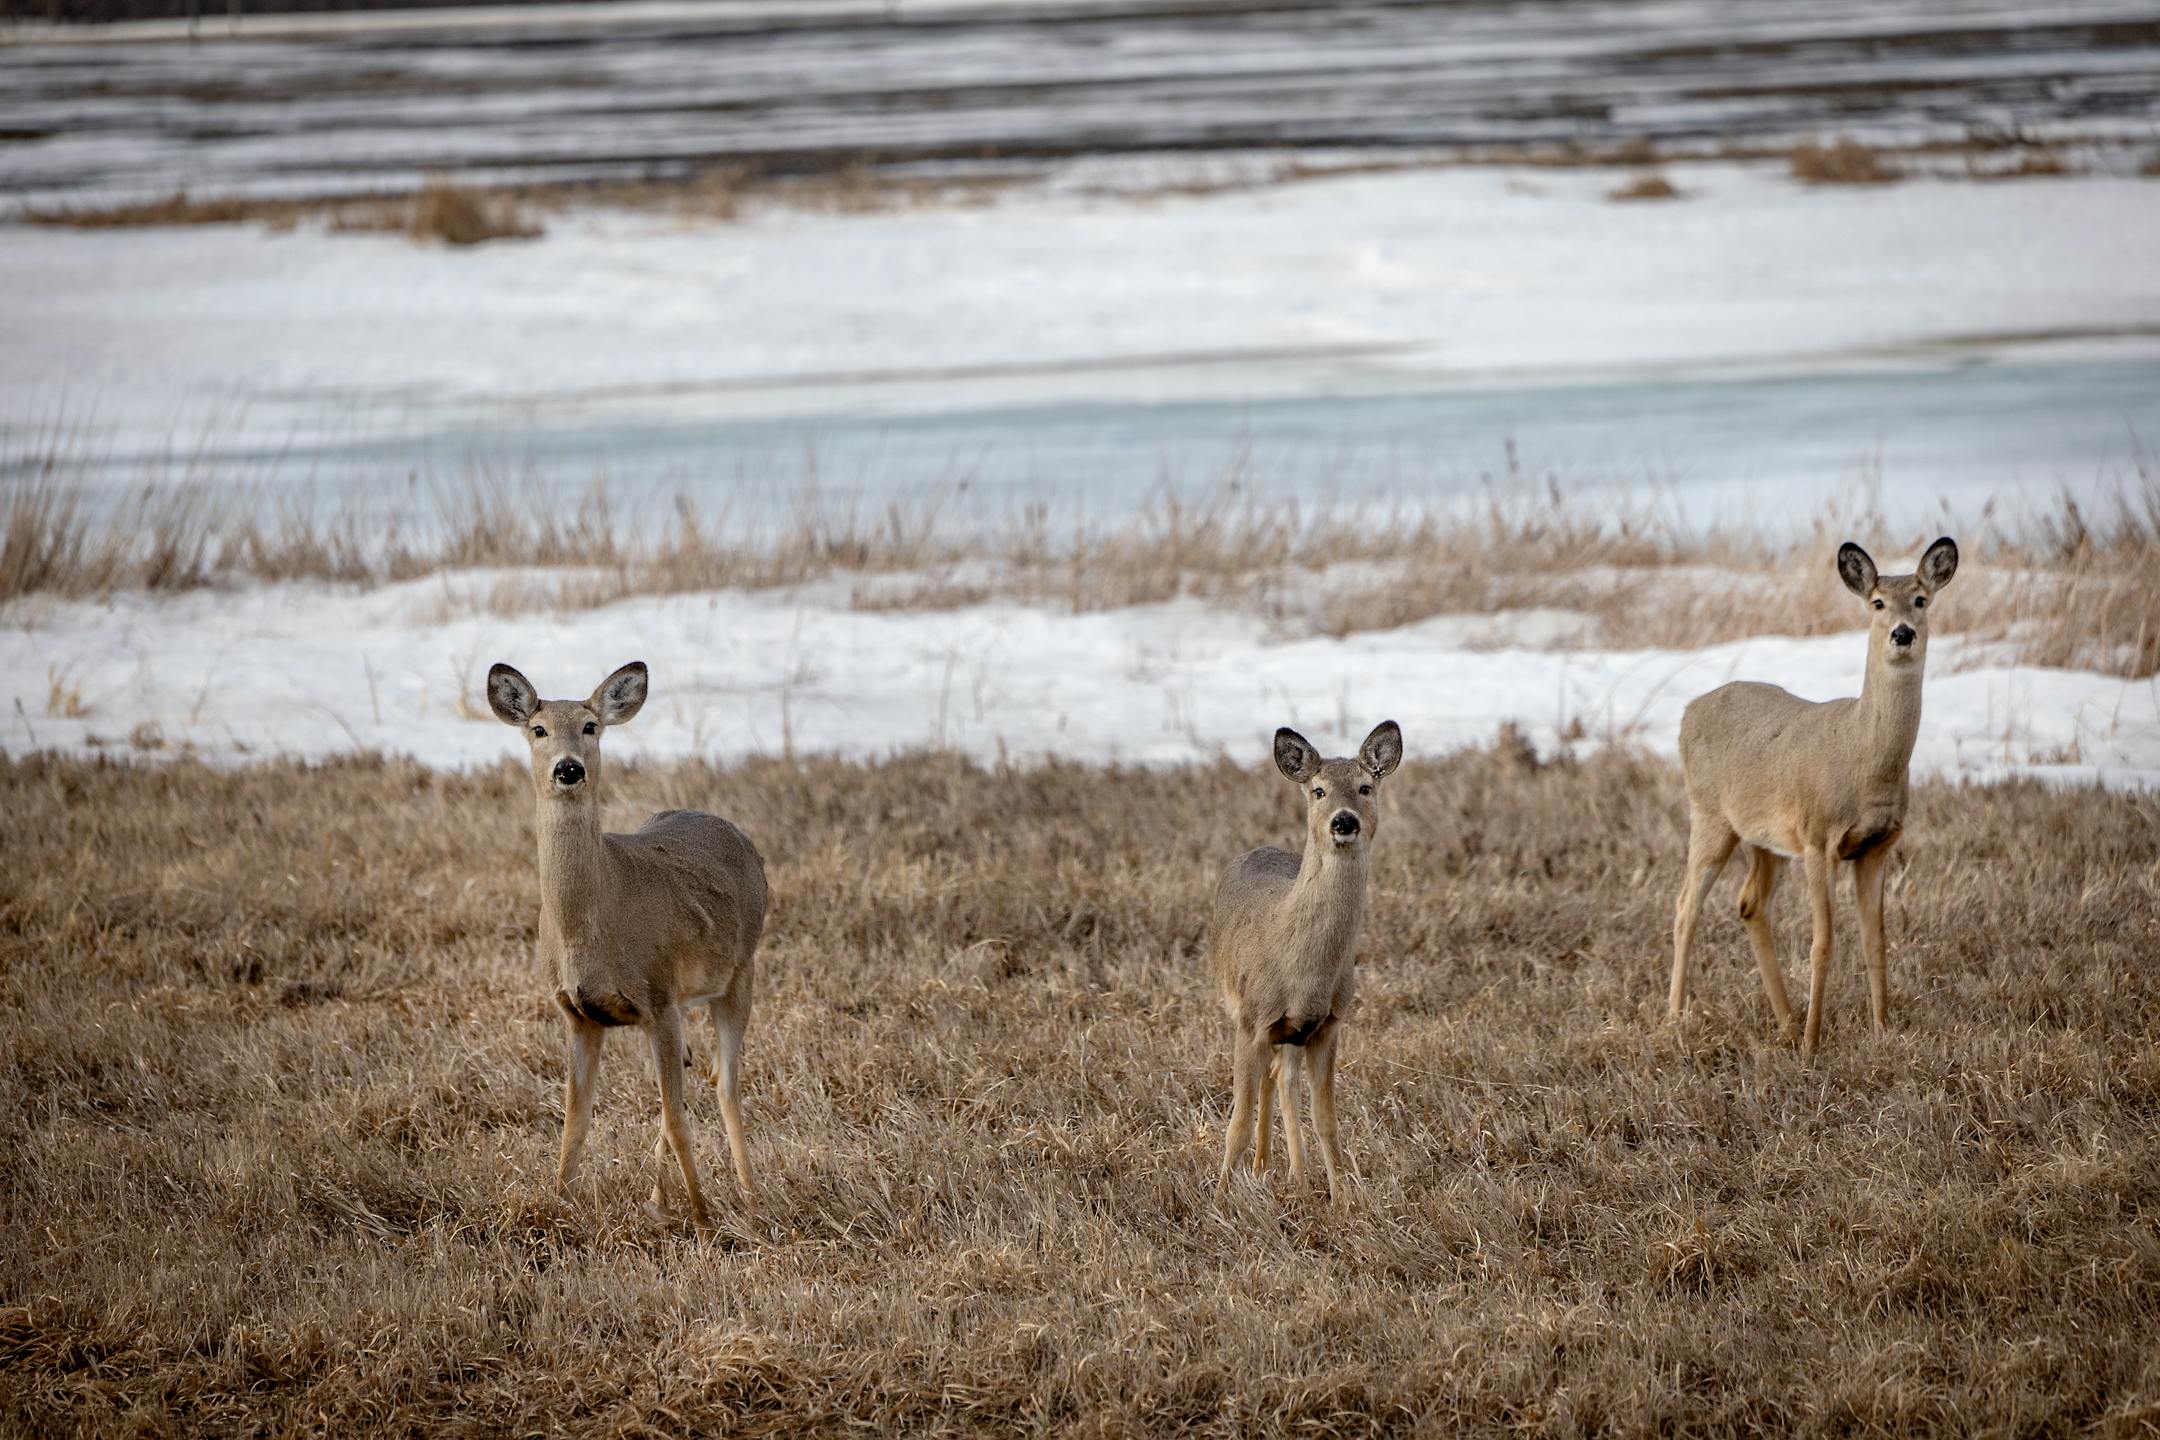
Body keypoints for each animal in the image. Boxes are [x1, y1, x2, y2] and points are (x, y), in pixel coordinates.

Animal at [487, 660, 767, 1232]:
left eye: (591, 726)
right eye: (538, 729)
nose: (569, 769)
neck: (589, 928)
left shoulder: (657, 996)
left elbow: (678, 1118)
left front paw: (704, 1221)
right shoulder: (578, 1013)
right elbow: (574, 1120)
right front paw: (558, 1206)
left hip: (739, 971)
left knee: (724, 1083)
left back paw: (750, 1197)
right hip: (681, 1001)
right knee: (690, 1074)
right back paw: (659, 1201)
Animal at [1209, 720, 1402, 1203]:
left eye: (1365, 786)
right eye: (1318, 790)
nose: (1344, 820)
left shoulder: (1328, 1025)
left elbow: (1327, 1121)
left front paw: (1343, 1201)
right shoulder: (1251, 1020)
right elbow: (1236, 1124)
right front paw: (1218, 1200)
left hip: (1292, 1034)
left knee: (1281, 1078)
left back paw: (1289, 1173)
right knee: (1269, 1080)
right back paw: (1263, 1168)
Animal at [1667, 537, 1958, 1059]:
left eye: (1921, 599)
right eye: (1877, 602)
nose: (1903, 633)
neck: (1864, 758)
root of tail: (1688, 710)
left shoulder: (1877, 846)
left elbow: (1875, 941)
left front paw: (1882, 1031)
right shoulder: (1818, 839)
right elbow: (1822, 943)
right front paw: (1812, 1044)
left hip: (1764, 839)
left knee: (1749, 905)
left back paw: (1784, 1020)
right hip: (1710, 815)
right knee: (1686, 908)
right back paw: (1675, 1019)